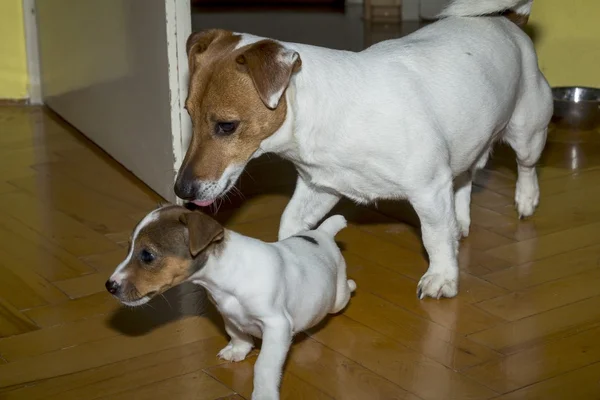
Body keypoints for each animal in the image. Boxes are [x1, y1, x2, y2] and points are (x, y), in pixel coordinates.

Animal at [106, 205, 356, 398]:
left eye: (147, 255)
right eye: (129, 248)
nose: (110, 285)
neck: (227, 275)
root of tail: (322, 234)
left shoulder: (277, 325)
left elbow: (264, 366)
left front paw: (264, 393)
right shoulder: (227, 313)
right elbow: (236, 332)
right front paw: (238, 349)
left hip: (336, 299)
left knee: (343, 293)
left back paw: (351, 285)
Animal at [173, 0, 552, 300]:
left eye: (226, 126)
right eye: (187, 113)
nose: (182, 189)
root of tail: (508, 21)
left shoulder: (428, 189)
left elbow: (434, 237)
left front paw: (443, 277)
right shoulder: (320, 187)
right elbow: (290, 221)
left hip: (527, 131)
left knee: (526, 166)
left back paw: (526, 199)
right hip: (465, 144)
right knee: (465, 179)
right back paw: (460, 220)